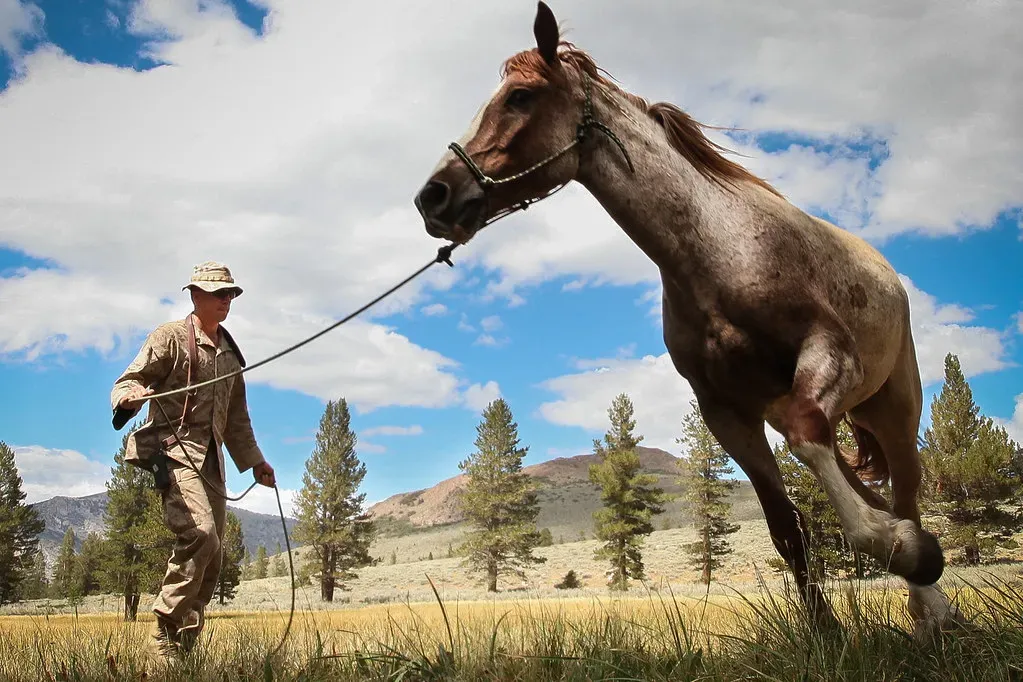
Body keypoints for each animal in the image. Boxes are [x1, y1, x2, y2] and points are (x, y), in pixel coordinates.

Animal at [413, 1, 962, 636]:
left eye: (520, 97)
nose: (433, 196)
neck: (723, 254)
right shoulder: (727, 411)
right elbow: (786, 527)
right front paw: (825, 632)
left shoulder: (830, 355)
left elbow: (812, 442)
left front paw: (907, 552)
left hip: (893, 406)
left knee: (906, 492)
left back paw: (930, 610)